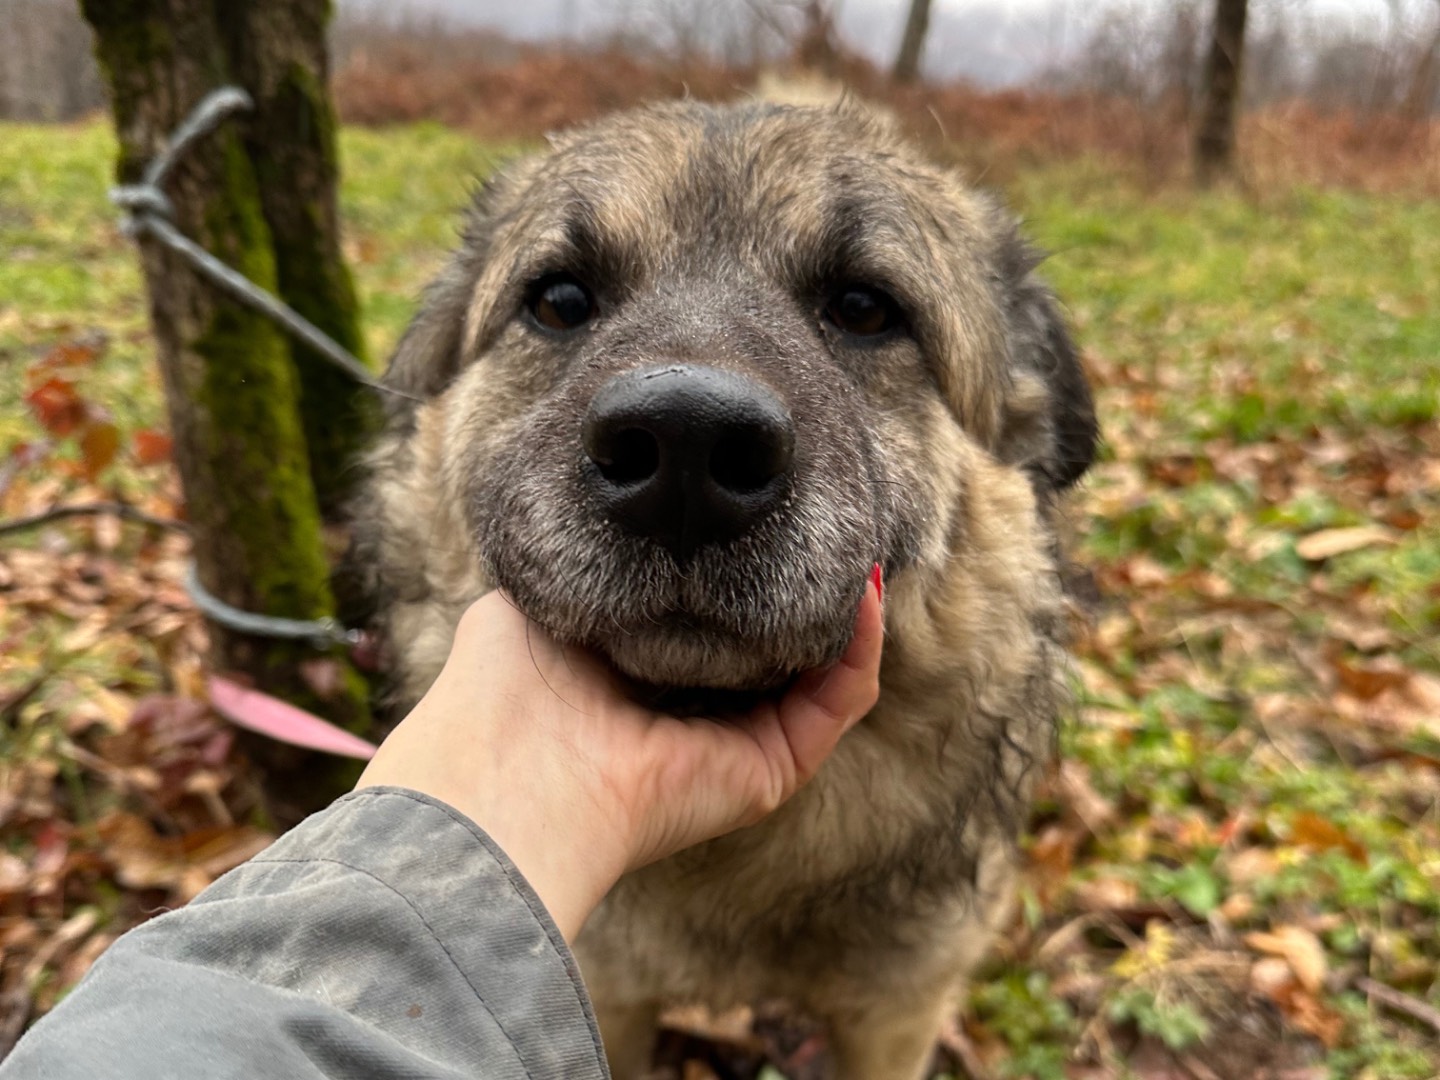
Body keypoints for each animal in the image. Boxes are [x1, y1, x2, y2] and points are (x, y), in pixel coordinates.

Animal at [354, 101, 1094, 1080]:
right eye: (560, 301)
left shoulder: (897, 1014)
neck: (730, 865)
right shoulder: (606, 995)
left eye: (864, 308)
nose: (685, 449)